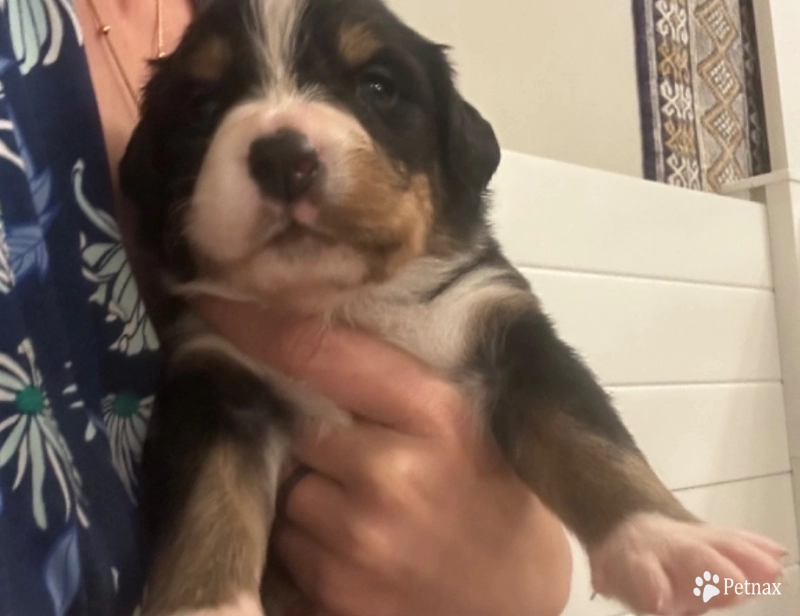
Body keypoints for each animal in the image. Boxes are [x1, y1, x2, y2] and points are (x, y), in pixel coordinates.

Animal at [120, 1, 788, 616]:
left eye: (378, 87)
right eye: (203, 107)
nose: (285, 157)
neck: (348, 303)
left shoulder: (509, 330)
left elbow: (589, 437)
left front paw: (669, 542)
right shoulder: (215, 381)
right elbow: (209, 508)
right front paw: (207, 607)